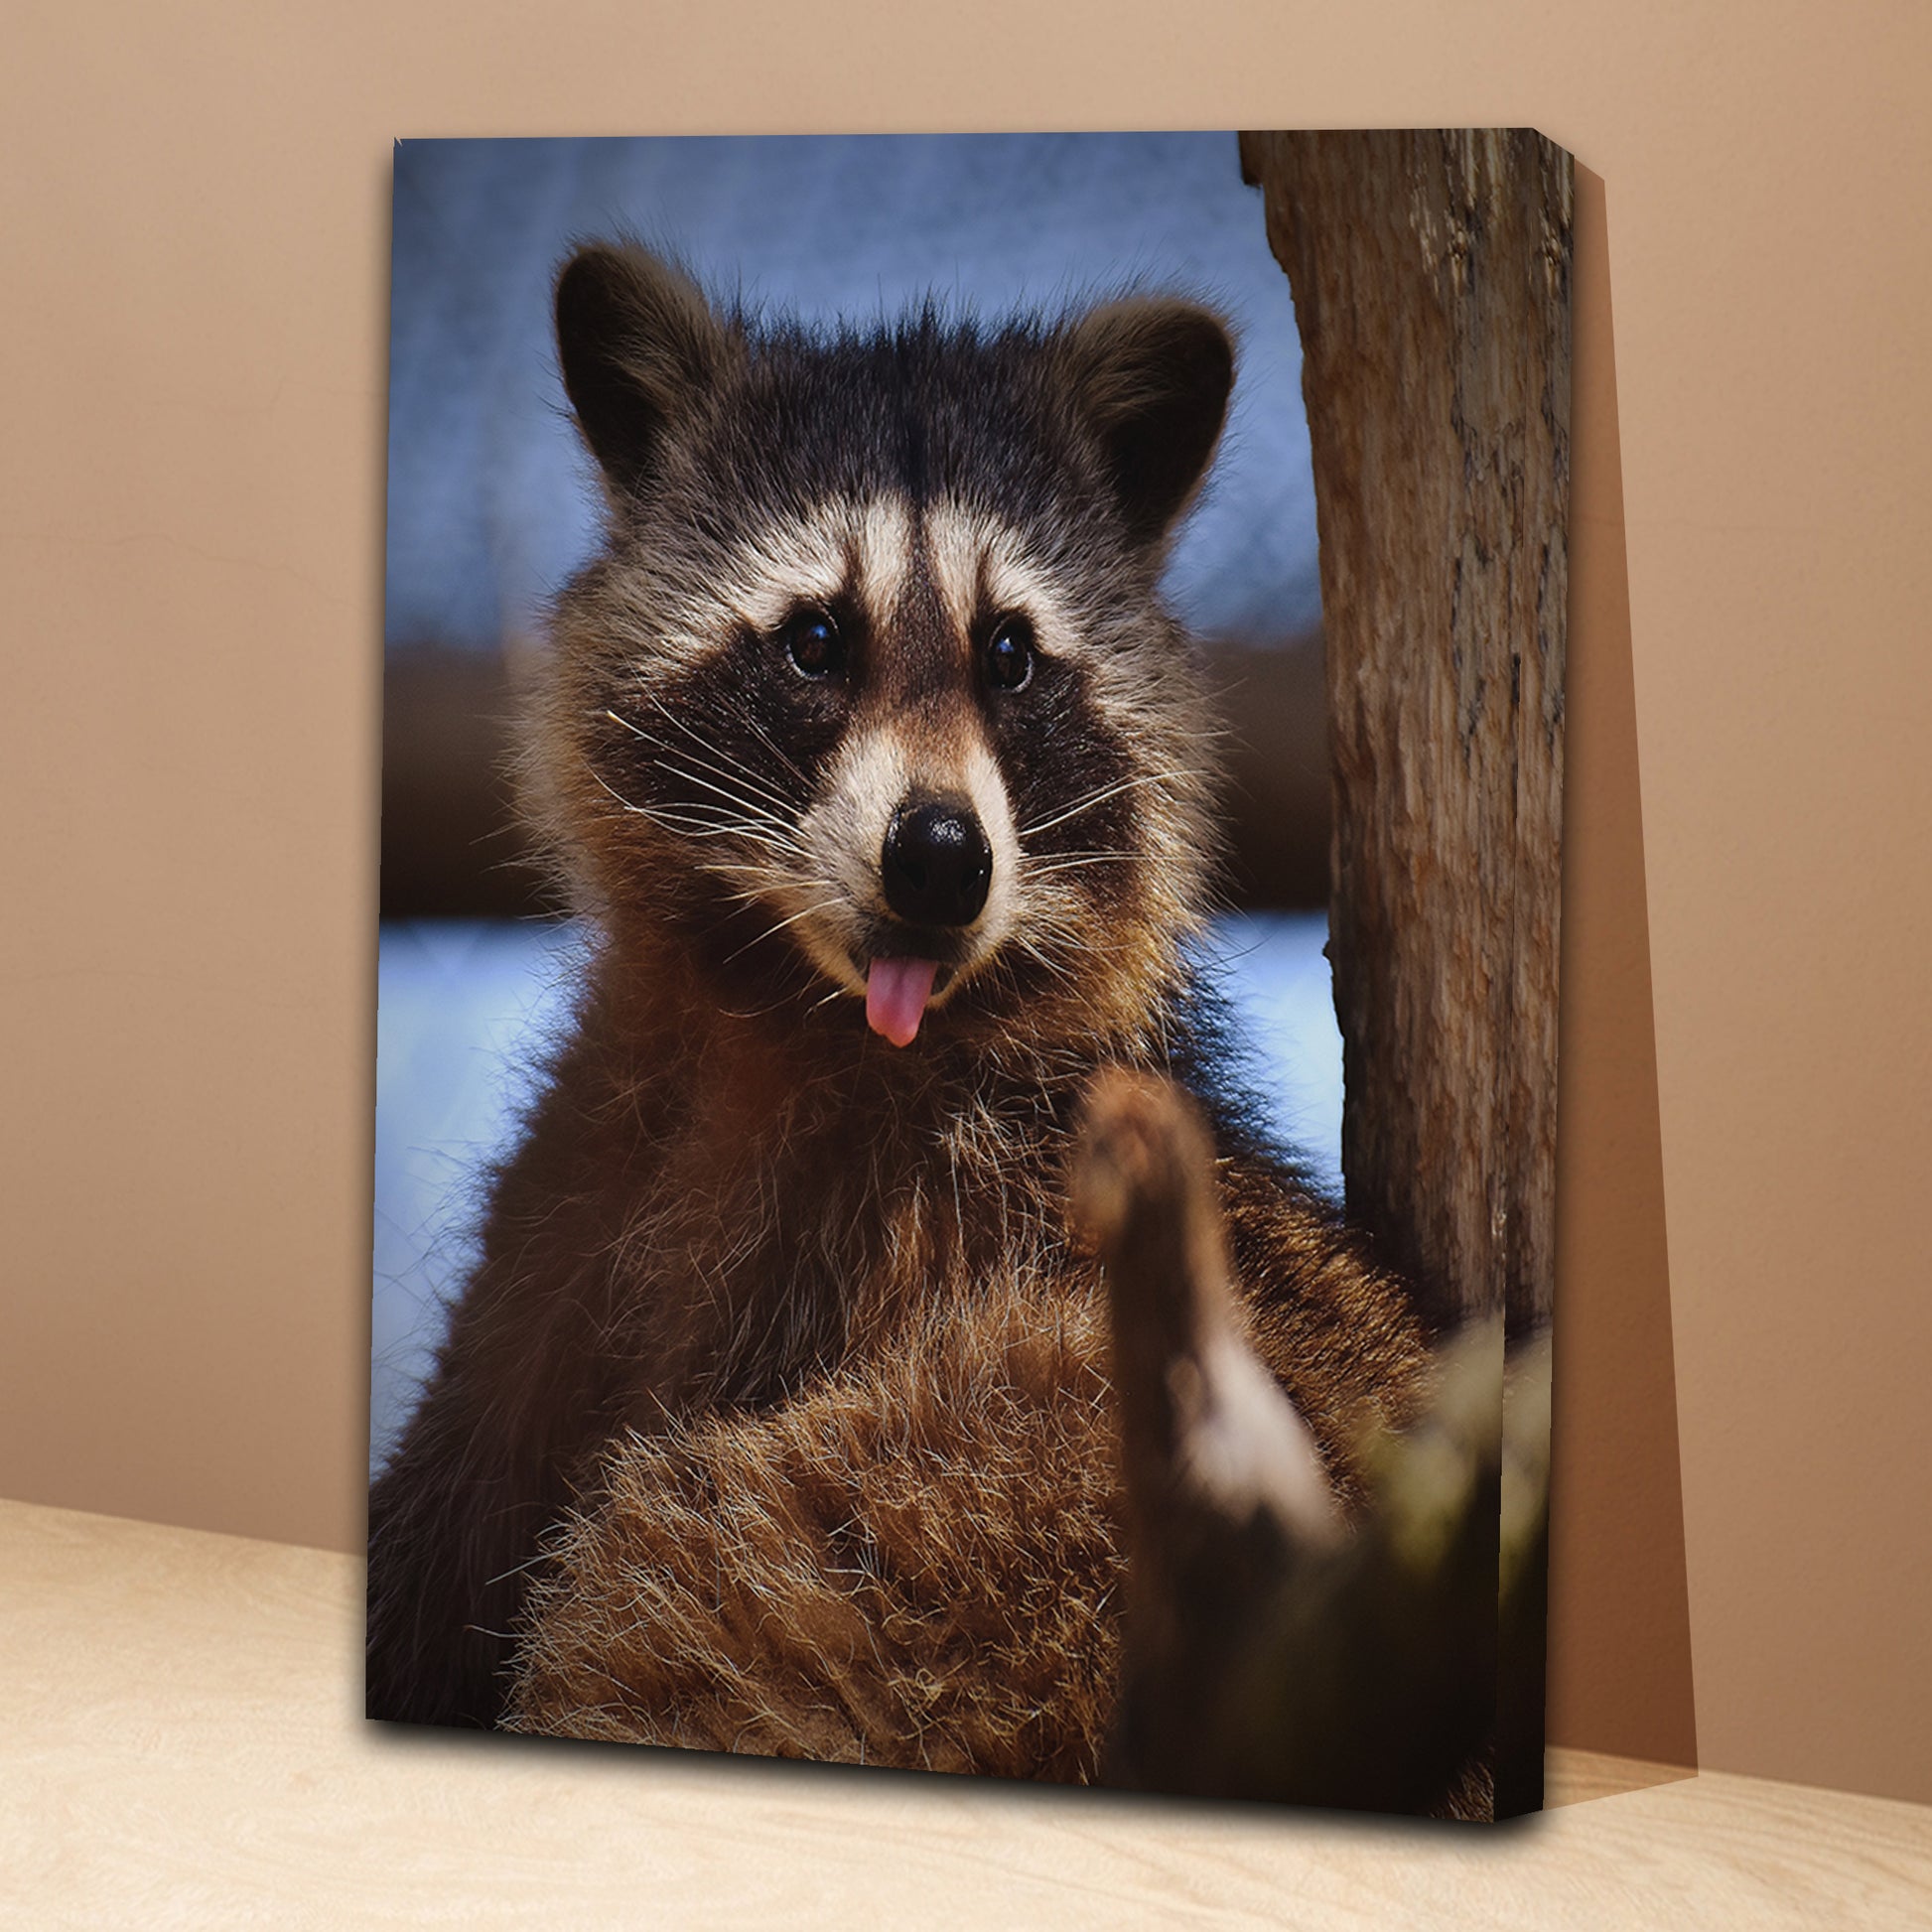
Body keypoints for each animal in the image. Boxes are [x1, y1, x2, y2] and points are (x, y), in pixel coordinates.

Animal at [368, 243, 1472, 1803]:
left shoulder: (976, 1230)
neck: (804, 1022)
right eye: (814, 641)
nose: (942, 857)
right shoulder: (579, 1195)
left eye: (1008, 656)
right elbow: (446, 1513)